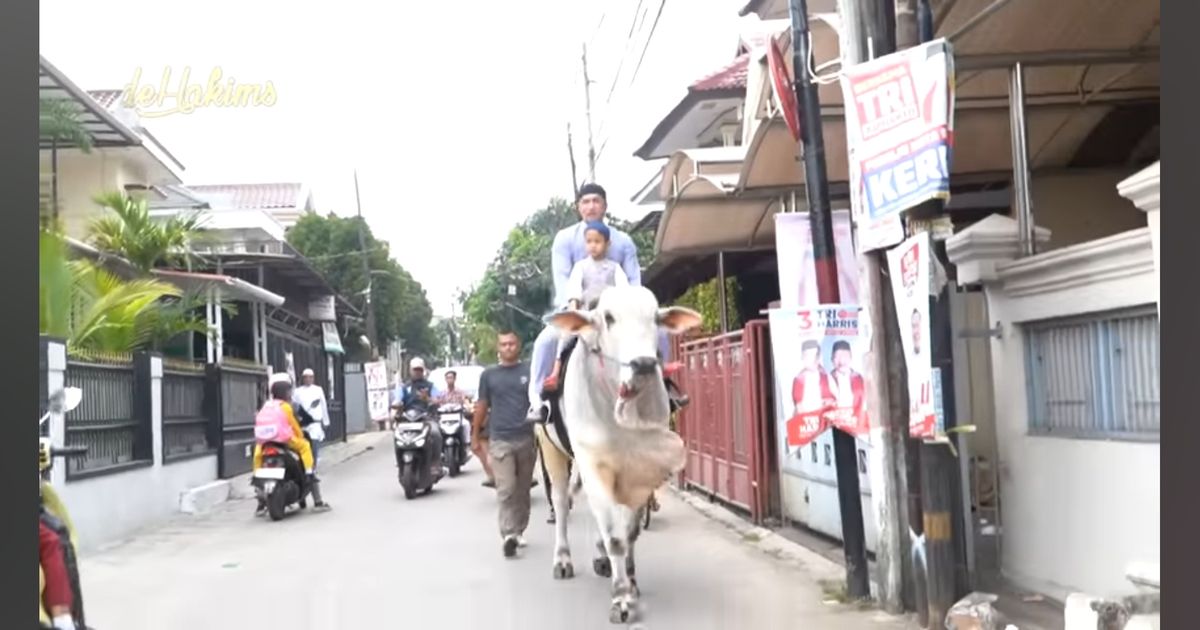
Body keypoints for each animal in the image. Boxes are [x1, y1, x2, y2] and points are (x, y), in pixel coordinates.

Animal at [537, 285, 700, 624]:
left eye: (655, 317)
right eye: (608, 317)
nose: (644, 364)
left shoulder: (642, 467)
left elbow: (630, 530)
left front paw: (631, 581)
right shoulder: (591, 462)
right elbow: (615, 535)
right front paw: (621, 598)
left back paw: (601, 558)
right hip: (550, 449)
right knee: (561, 502)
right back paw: (562, 559)